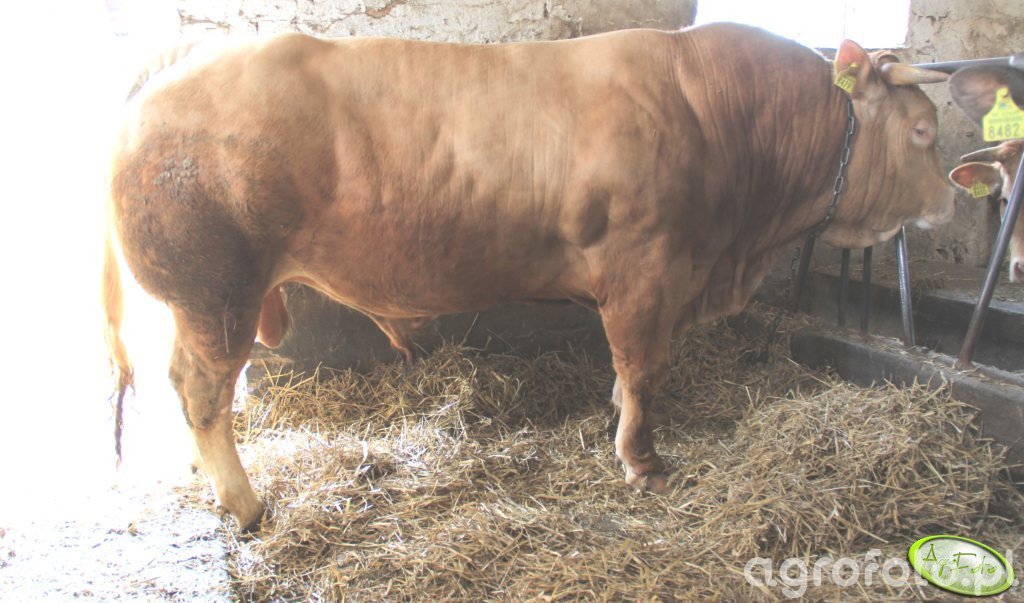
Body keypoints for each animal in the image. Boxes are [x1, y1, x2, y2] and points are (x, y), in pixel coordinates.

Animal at [104, 23, 953, 531]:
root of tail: (168, 71)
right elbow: (643, 367)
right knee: (203, 389)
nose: (951, 200)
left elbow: (625, 373)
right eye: (922, 131)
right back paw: (246, 502)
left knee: (188, 388)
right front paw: (643, 461)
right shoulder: (645, 273)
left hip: (202, 301)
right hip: (215, 293)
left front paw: (616, 422)